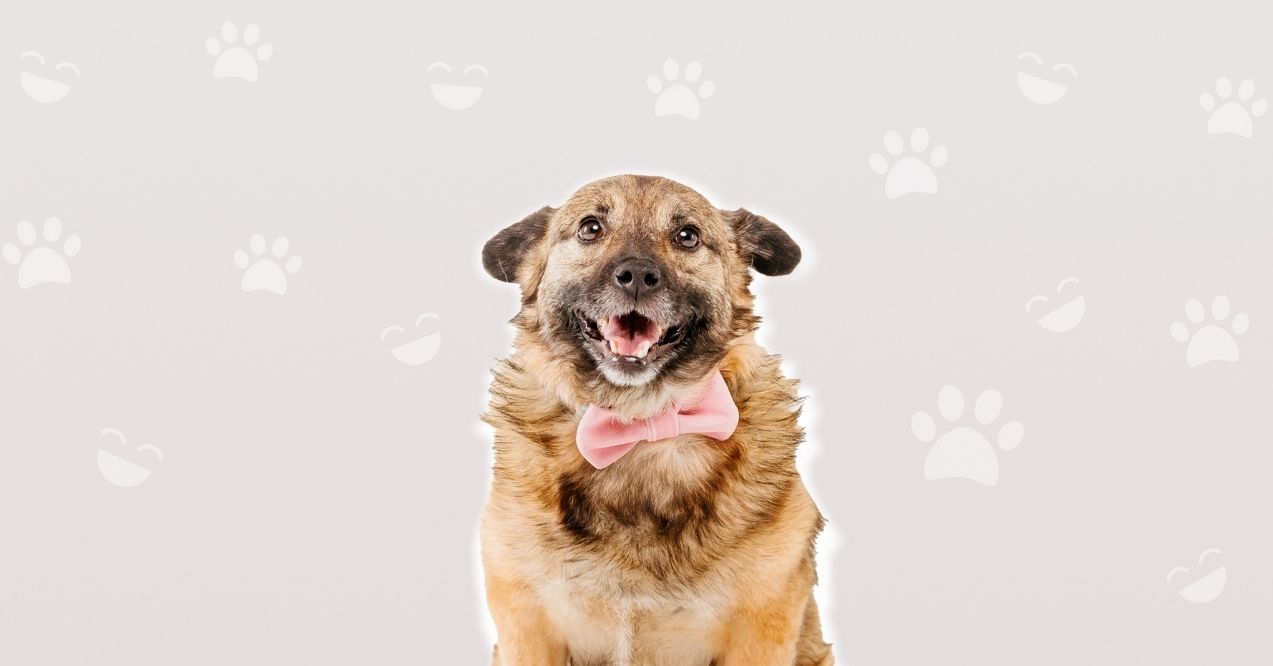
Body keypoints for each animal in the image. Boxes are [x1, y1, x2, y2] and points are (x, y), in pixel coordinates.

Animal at [481, 175, 829, 666]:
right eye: (590, 228)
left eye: (687, 236)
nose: (637, 276)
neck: (640, 422)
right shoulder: (527, 631)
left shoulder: (761, 630)